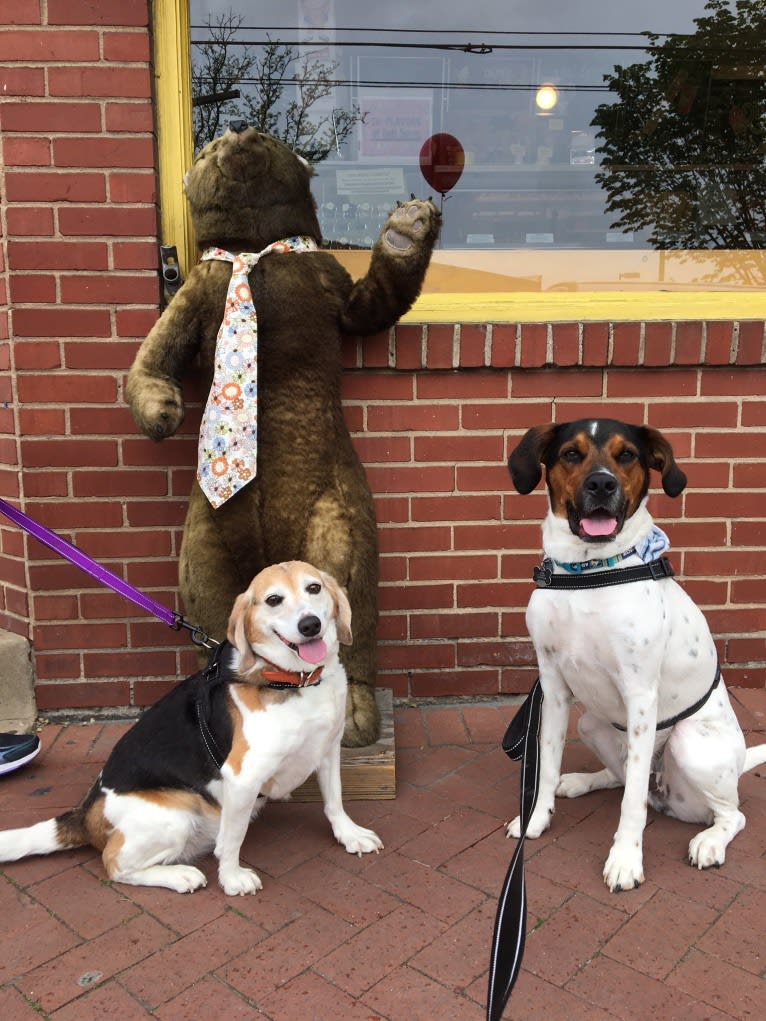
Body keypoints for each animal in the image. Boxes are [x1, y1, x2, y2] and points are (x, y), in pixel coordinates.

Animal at [0, 563, 381, 898]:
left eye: (314, 588)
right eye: (274, 599)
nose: (310, 625)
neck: (292, 680)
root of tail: (86, 814)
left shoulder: (327, 749)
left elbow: (334, 801)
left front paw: (348, 835)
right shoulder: (242, 778)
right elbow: (233, 840)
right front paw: (232, 879)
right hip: (176, 815)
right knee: (115, 864)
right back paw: (180, 875)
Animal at [506, 418, 763, 890]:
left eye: (627, 455)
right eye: (571, 454)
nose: (601, 484)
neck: (587, 573)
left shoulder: (641, 696)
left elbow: (632, 805)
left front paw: (625, 859)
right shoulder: (553, 688)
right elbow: (546, 764)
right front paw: (537, 819)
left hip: (688, 745)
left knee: (727, 813)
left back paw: (710, 843)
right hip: (590, 722)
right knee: (624, 778)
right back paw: (582, 781)